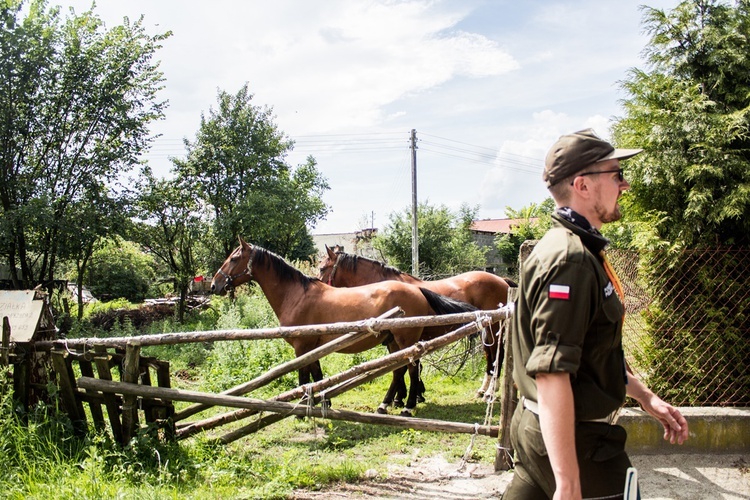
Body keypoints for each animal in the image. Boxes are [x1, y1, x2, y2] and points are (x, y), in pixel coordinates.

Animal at [210, 237, 476, 414]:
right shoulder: (312, 347)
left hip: (406, 341)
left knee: (411, 369)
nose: (214, 285)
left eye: (234, 258)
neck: (296, 295)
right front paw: (323, 403)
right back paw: (386, 404)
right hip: (393, 342)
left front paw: (302, 409)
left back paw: (407, 407)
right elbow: (317, 376)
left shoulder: (301, 347)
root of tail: (417, 289)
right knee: (400, 370)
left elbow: (304, 378)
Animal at [318, 246, 516, 398]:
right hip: (486, 332)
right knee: (490, 357)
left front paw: (404, 397)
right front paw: (412, 394)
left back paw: (490, 392)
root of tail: (502, 280)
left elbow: (405, 366)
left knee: (497, 356)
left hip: (494, 329)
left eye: (321, 268)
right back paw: (484, 390)